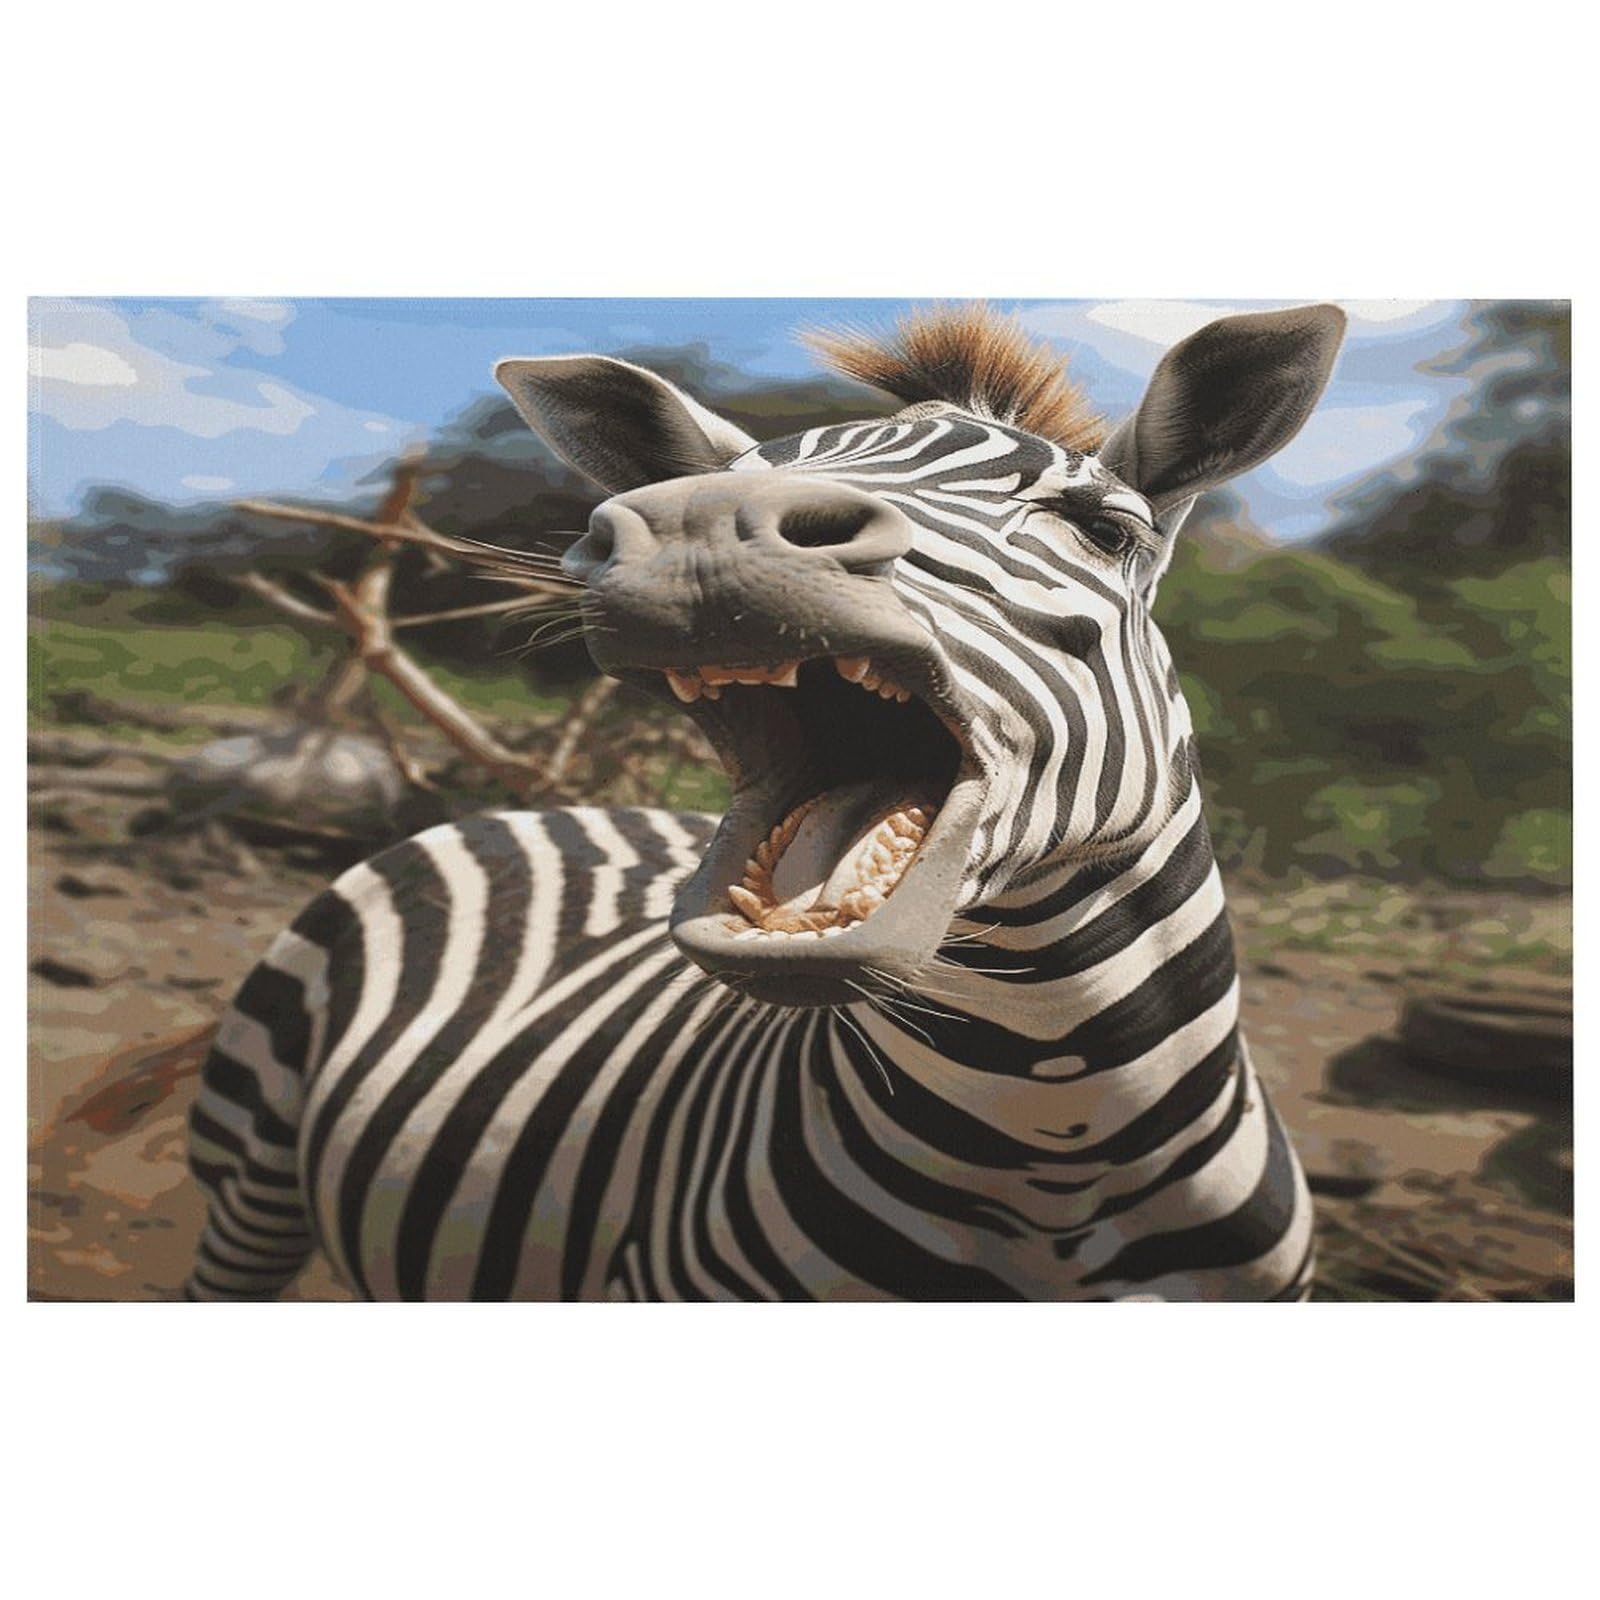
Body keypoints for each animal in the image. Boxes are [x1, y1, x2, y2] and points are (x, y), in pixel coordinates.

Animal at [185, 302, 1346, 1301]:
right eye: (724, 480)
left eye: (1103, 528)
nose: (701, 526)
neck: (1055, 1140)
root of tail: (528, 812)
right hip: (248, 1163)